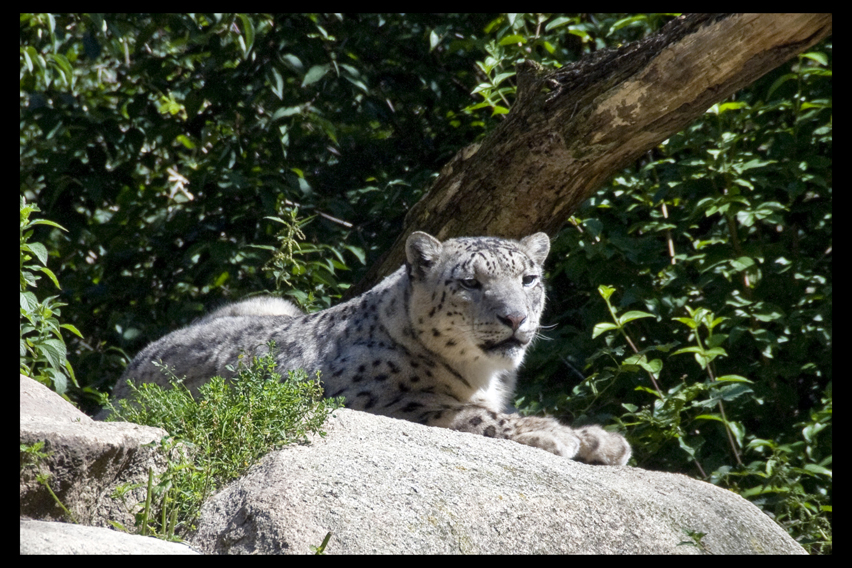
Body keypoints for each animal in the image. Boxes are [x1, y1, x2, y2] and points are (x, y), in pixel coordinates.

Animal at [101, 232, 632, 466]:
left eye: (528, 279)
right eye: (469, 282)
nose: (515, 318)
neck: (484, 375)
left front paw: (601, 440)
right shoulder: (379, 399)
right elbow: (472, 414)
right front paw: (554, 434)